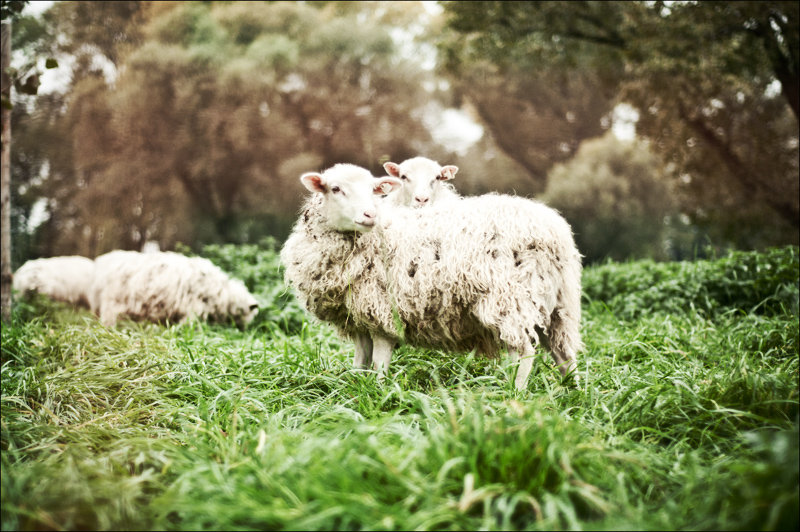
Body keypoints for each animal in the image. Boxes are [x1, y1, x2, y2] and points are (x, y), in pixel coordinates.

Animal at [282, 164, 580, 388]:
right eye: (335, 189)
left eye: (373, 190)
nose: (370, 214)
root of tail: (556, 231)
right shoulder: (358, 317)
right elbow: (360, 362)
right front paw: (355, 388)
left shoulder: (382, 312)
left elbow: (378, 363)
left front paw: (378, 393)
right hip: (557, 304)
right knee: (563, 352)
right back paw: (572, 394)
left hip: (511, 298)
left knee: (524, 352)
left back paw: (513, 393)